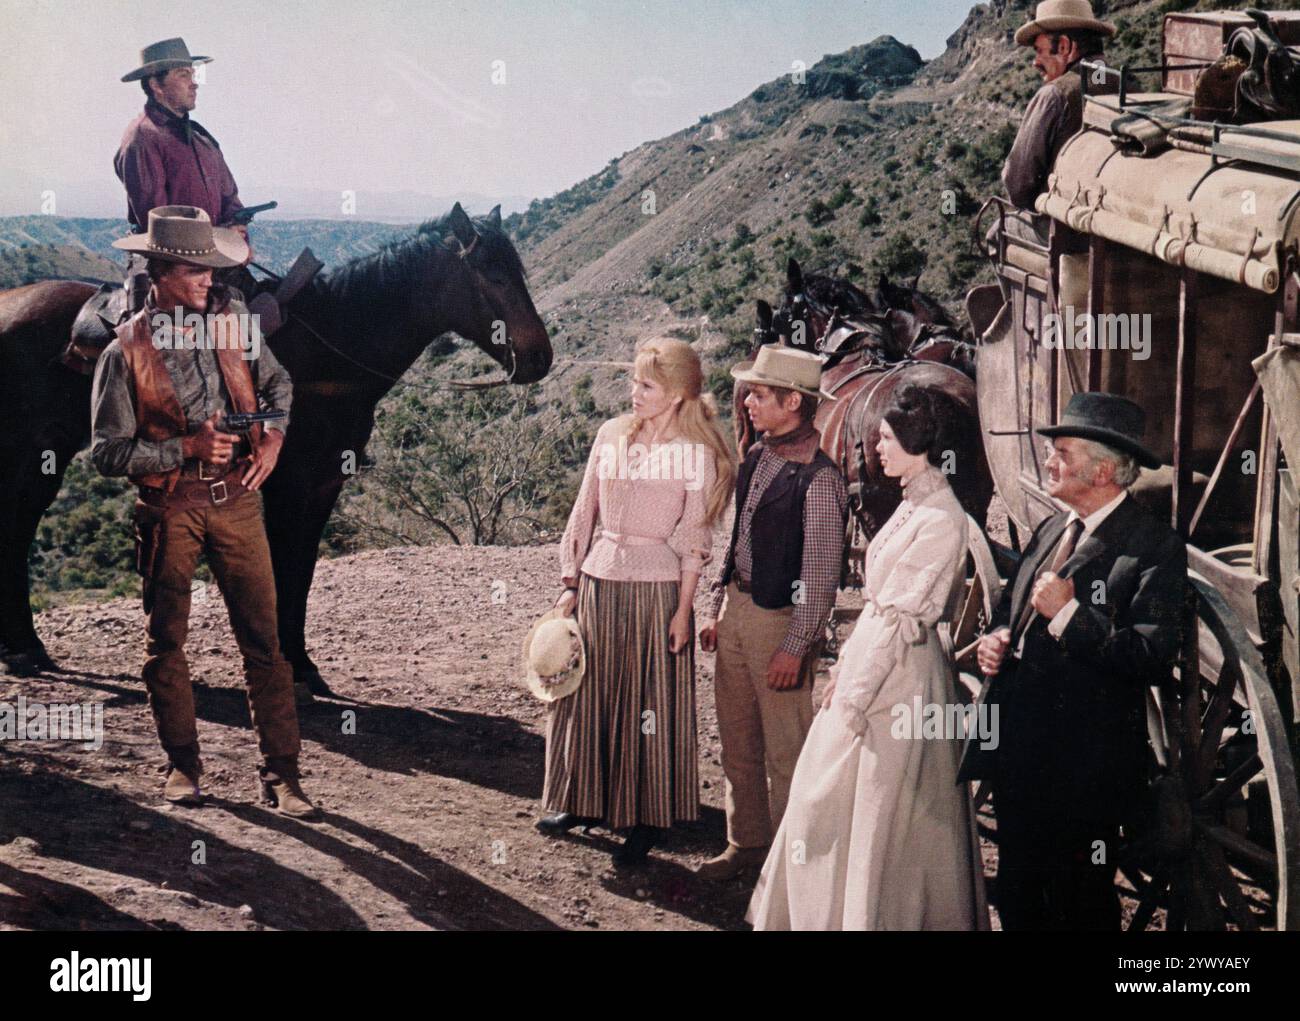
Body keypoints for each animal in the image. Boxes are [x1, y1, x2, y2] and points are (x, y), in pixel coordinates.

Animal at [0, 202, 548, 686]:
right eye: (494, 277)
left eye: (519, 270)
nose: (540, 357)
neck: (330, 350)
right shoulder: (289, 483)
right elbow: (284, 567)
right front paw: (291, 662)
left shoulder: (325, 483)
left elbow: (302, 569)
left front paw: (304, 663)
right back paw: (23, 650)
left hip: (47, 454)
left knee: (19, 527)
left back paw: (27, 648)